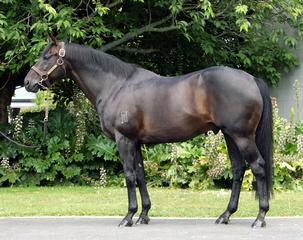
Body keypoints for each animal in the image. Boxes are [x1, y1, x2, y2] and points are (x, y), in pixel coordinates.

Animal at [25, 37, 274, 227]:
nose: (28, 82)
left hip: (242, 137)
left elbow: (129, 175)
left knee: (258, 167)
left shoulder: (124, 140)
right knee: (238, 170)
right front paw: (143, 214)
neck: (115, 86)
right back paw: (225, 215)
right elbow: (141, 176)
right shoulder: (135, 142)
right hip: (230, 136)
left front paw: (128, 216)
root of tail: (251, 79)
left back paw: (260, 217)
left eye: (46, 57)